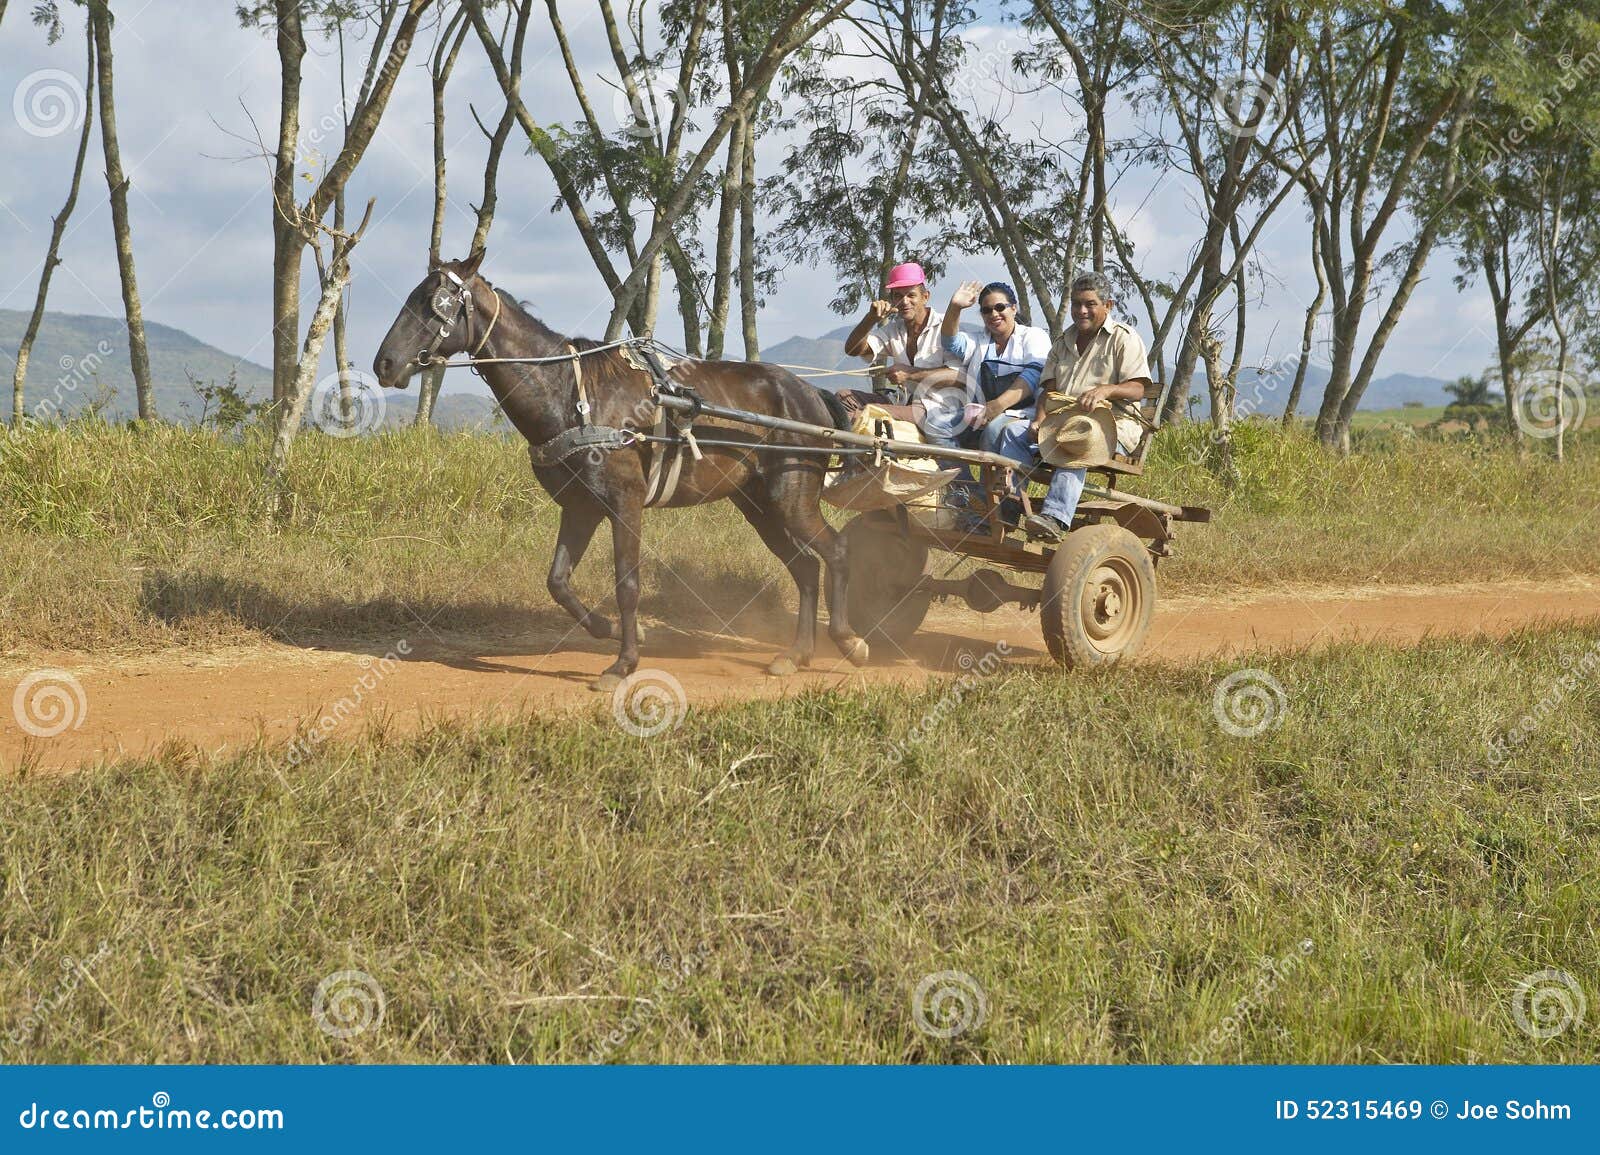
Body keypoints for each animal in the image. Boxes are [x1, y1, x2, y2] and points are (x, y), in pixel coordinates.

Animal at [369, 247, 870, 687]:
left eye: (434, 302)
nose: (384, 363)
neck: (572, 394)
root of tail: (810, 392)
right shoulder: (581, 507)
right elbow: (558, 582)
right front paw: (607, 630)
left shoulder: (624, 503)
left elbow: (627, 584)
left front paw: (625, 663)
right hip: (758, 504)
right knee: (805, 566)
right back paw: (798, 653)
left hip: (791, 496)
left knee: (837, 552)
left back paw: (848, 640)